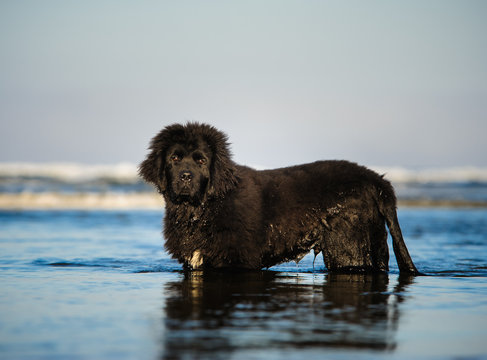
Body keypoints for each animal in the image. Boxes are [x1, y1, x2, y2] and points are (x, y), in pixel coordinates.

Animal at [138, 122, 420, 274]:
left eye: (201, 160)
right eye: (175, 158)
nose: (185, 177)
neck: (202, 210)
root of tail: (378, 181)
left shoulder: (237, 260)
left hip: (350, 249)